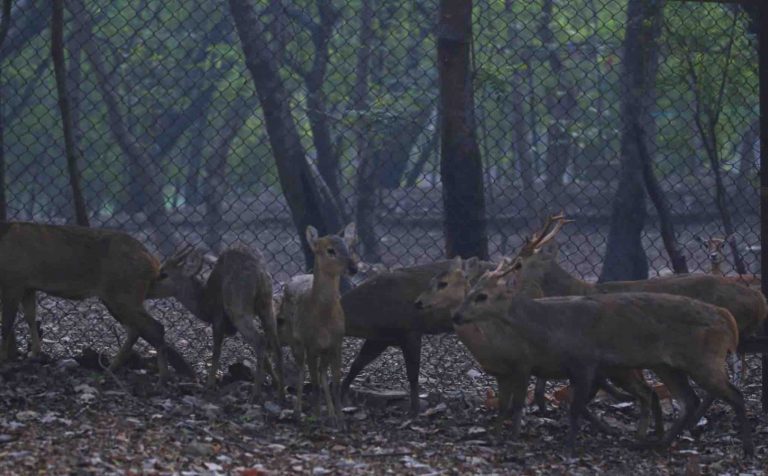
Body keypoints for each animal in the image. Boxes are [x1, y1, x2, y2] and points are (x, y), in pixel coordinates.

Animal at [0, 222, 195, 381]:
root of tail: (153, 263)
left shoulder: (13, 281)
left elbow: (7, 323)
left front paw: (5, 359)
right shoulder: (27, 286)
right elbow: (30, 316)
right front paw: (34, 353)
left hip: (122, 293)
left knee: (153, 326)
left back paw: (163, 376)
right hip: (122, 296)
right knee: (136, 329)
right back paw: (111, 369)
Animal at [148, 244, 284, 397]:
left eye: (164, 274)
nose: (148, 287)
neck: (205, 302)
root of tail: (259, 273)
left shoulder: (218, 317)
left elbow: (216, 350)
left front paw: (209, 384)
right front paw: (274, 383)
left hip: (237, 309)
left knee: (260, 342)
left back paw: (255, 394)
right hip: (266, 304)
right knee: (275, 344)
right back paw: (282, 393)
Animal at [279, 223, 357, 425]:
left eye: (349, 247)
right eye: (330, 250)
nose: (353, 268)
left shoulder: (337, 342)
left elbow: (335, 383)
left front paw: (340, 420)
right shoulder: (310, 344)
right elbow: (313, 385)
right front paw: (317, 417)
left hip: (324, 350)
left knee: (322, 372)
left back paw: (330, 415)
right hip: (293, 339)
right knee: (301, 370)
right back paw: (297, 412)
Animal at [415, 257, 663, 440]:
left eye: (443, 283)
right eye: (430, 280)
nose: (418, 302)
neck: (492, 342)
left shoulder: (524, 364)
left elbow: (517, 404)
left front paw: (514, 435)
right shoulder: (503, 373)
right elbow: (504, 406)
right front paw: (495, 433)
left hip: (620, 367)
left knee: (644, 391)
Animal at [452, 262, 752, 457]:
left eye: (482, 296)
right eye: (469, 292)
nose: (456, 316)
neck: (552, 327)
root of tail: (726, 319)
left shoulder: (586, 362)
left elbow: (575, 408)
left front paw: (569, 448)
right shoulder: (569, 368)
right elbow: (573, 405)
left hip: (704, 359)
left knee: (734, 395)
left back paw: (745, 446)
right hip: (666, 364)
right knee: (688, 400)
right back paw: (654, 443)